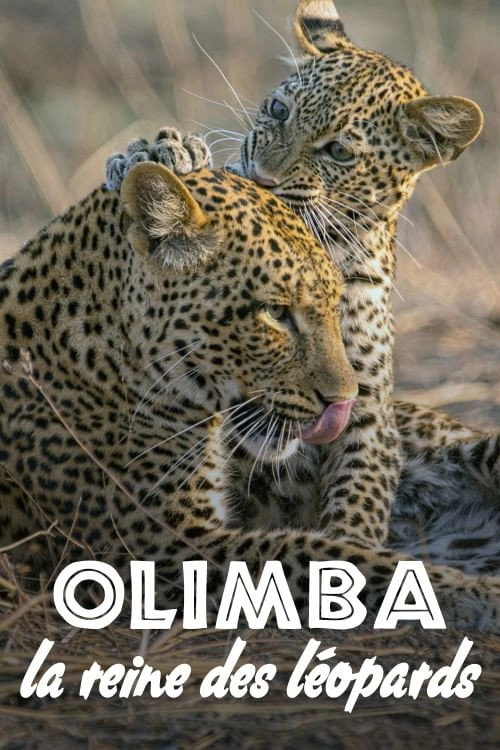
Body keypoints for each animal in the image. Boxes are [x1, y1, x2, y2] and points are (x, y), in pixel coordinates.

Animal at [106, 0, 500, 572]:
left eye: (338, 151)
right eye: (277, 109)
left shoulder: (366, 411)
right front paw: (160, 154)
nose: (263, 178)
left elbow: (359, 506)